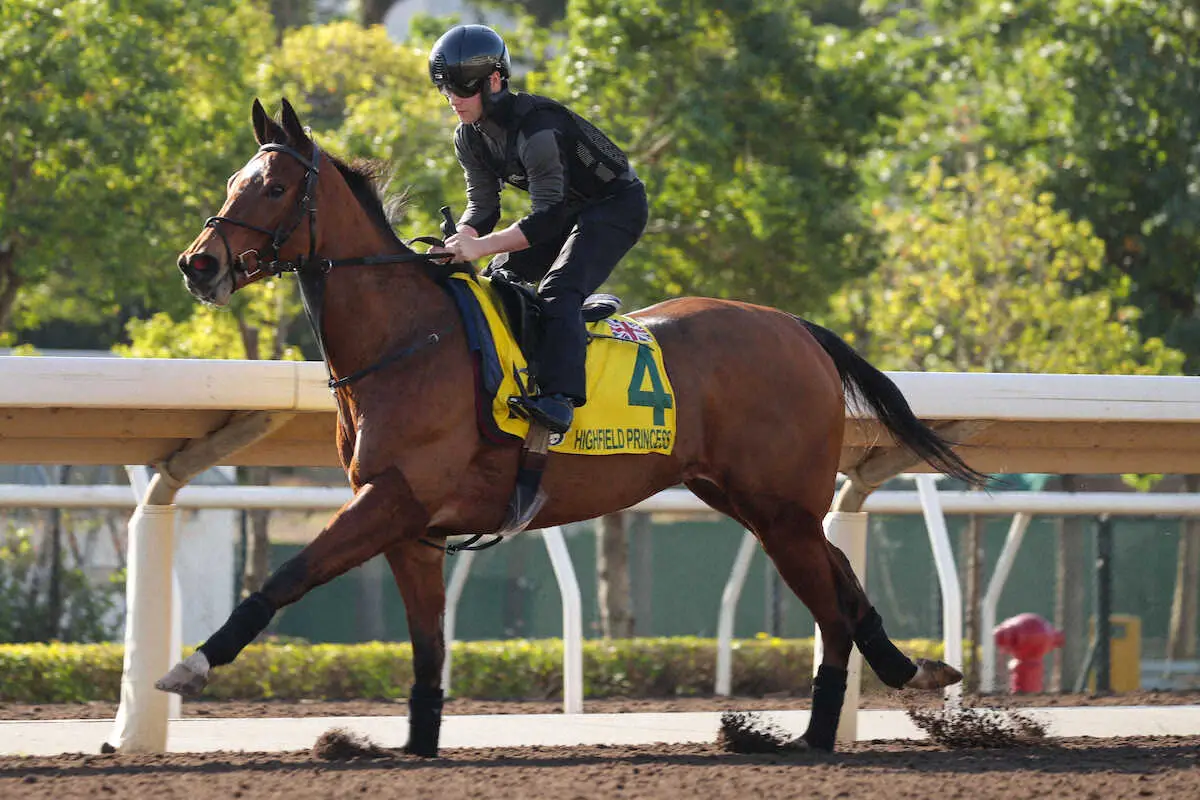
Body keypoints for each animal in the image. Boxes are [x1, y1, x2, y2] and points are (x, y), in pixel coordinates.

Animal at [161, 98, 983, 756]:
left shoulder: (392, 497)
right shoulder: (409, 524)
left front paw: (192, 665)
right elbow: (427, 645)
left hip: (780, 506)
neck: (406, 339)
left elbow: (287, 575)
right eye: (233, 182)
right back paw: (909, 669)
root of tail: (796, 326)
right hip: (751, 498)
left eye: (272, 187)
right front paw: (416, 744)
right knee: (842, 579)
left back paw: (814, 737)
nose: (198, 265)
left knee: (832, 611)